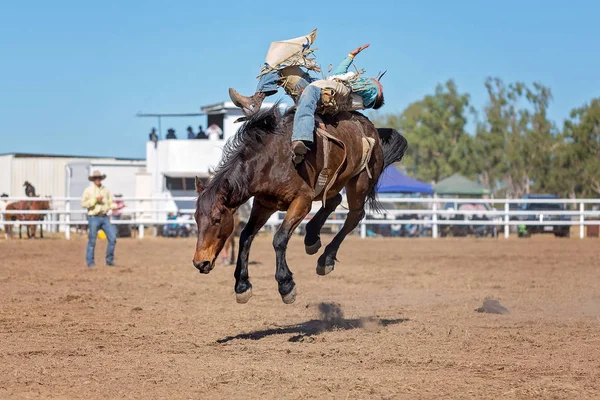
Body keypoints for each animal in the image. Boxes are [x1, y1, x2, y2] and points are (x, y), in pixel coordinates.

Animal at [192, 104, 408, 304]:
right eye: (196, 218)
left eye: (217, 219)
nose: (200, 263)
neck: (272, 159)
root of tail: (372, 129)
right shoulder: (264, 205)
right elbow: (246, 236)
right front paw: (242, 286)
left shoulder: (301, 201)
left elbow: (279, 238)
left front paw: (286, 284)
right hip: (333, 181)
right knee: (335, 201)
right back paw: (312, 237)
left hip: (358, 182)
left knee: (355, 215)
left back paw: (326, 259)